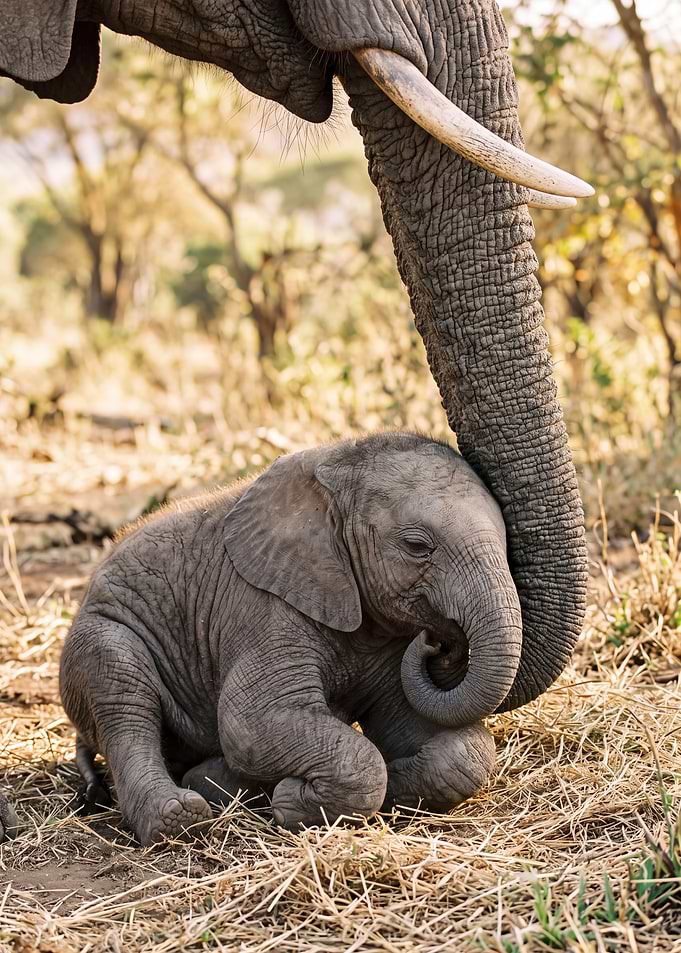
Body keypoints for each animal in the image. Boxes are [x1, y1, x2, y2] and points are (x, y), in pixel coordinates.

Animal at [56, 432, 521, 845]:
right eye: (417, 547)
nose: (435, 642)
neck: (333, 468)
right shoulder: (263, 607)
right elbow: (248, 724)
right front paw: (289, 803)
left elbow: (457, 749)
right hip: (97, 635)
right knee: (122, 693)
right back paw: (179, 818)